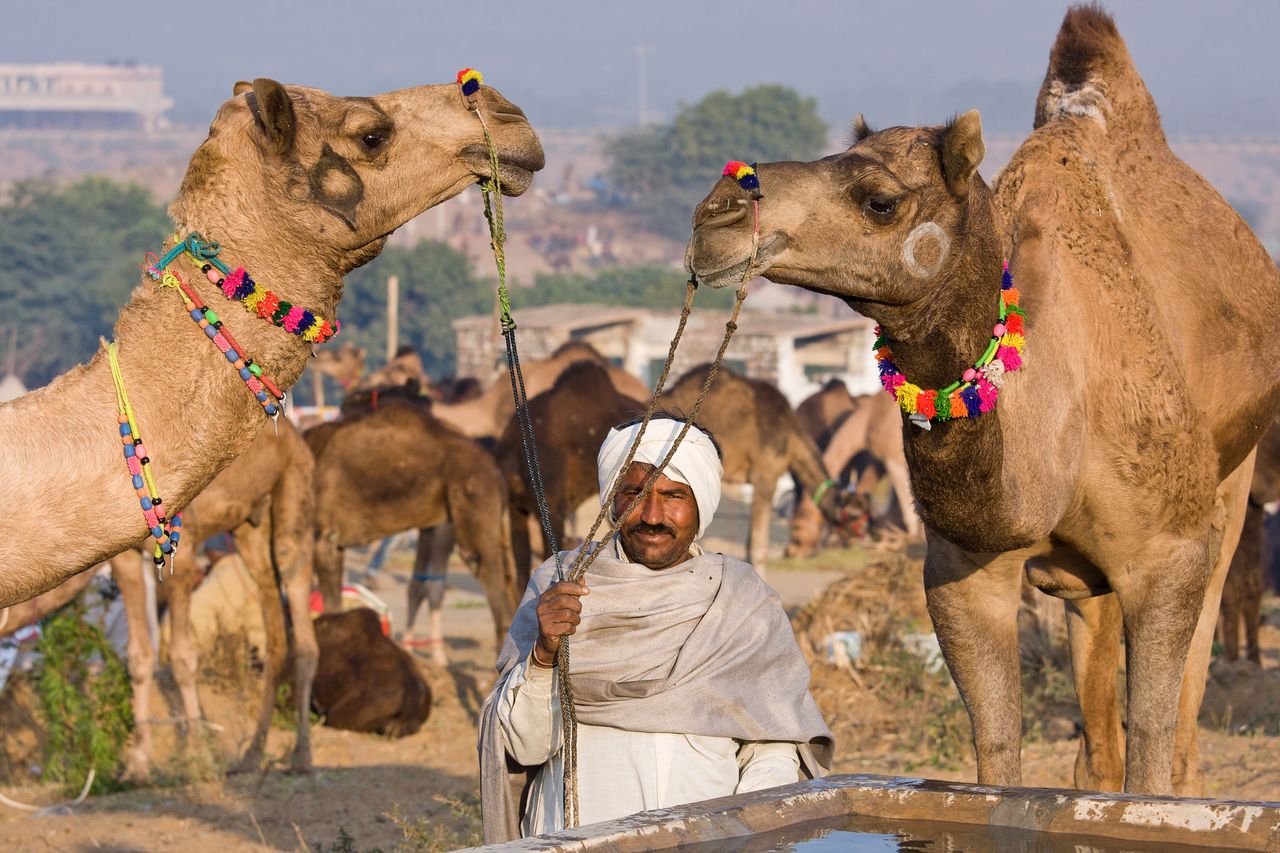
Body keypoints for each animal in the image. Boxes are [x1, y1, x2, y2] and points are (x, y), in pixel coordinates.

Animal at [686, 4, 1280, 799]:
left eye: (880, 200)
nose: (715, 213)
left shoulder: (1168, 552)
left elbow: (1153, 741)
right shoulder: (963, 572)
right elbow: (995, 746)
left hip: (1232, 476)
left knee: (1191, 681)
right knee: (1095, 700)